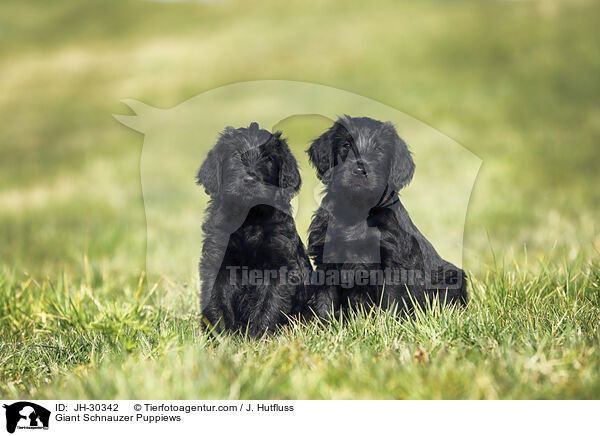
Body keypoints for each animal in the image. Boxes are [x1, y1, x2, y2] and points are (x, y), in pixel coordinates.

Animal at [197, 122, 312, 338]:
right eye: (235, 155)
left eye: (268, 158)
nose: (250, 180)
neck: (250, 220)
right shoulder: (216, 261)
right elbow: (217, 302)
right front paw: (222, 338)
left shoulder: (282, 267)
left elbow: (270, 305)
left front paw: (258, 337)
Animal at [308, 116, 466, 316]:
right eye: (346, 145)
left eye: (379, 149)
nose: (359, 171)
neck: (356, 209)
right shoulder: (326, 260)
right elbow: (325, 300)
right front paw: (323, 323)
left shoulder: (393, 263)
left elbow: (390, 301)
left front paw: (387, 322)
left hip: (451, 275)